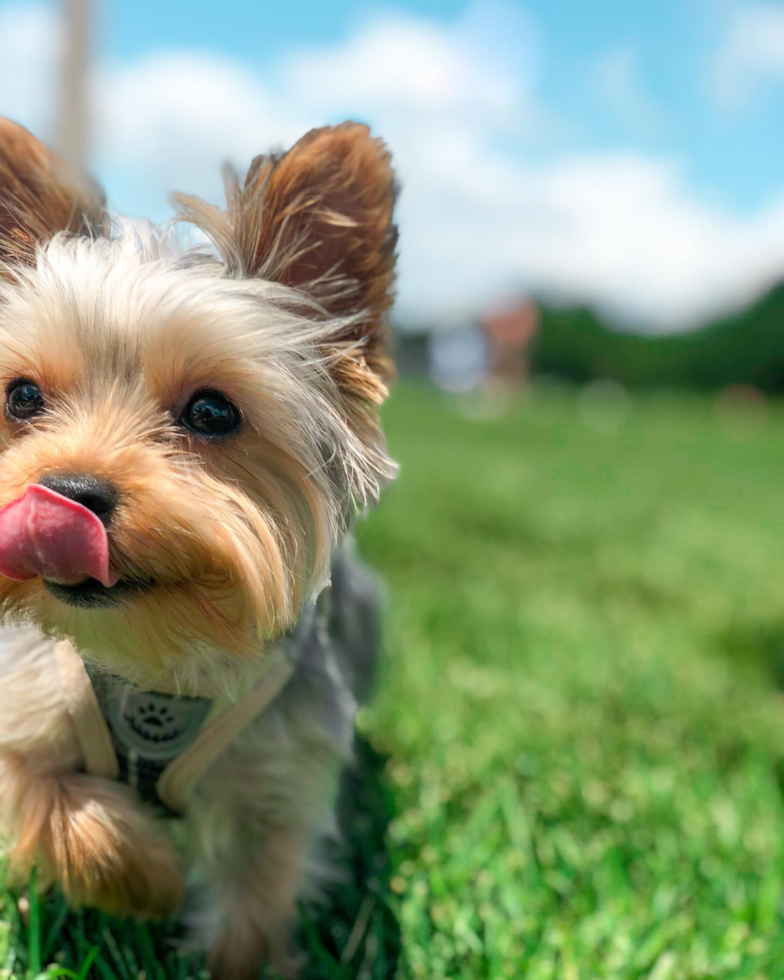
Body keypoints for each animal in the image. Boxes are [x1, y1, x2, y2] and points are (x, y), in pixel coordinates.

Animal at [0, 117, 398, 980]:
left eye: (213, 411)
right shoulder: (21, 698)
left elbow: (251, 906)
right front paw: (149, 877)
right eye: (21, 397)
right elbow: (59, 807)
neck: (155, 660)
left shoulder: (277, 779)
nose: (67, 493)